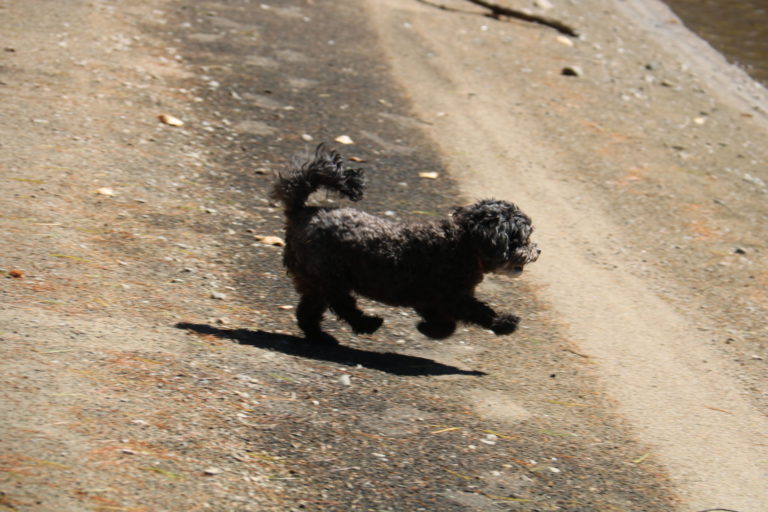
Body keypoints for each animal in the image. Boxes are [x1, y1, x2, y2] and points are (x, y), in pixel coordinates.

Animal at [270, 144, 540, 340]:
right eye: (522, 239)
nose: (537, 250)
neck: (462, 244)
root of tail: (302, 212)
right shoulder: (452, 297)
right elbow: (479, 312)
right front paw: (504, 323)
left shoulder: (430, 299)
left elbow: (445, 322)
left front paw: (430, 330)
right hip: (329, 275)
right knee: (341, 303)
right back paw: (367, 323)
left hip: (313, 279)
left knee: (309, 309)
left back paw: (319, 336)